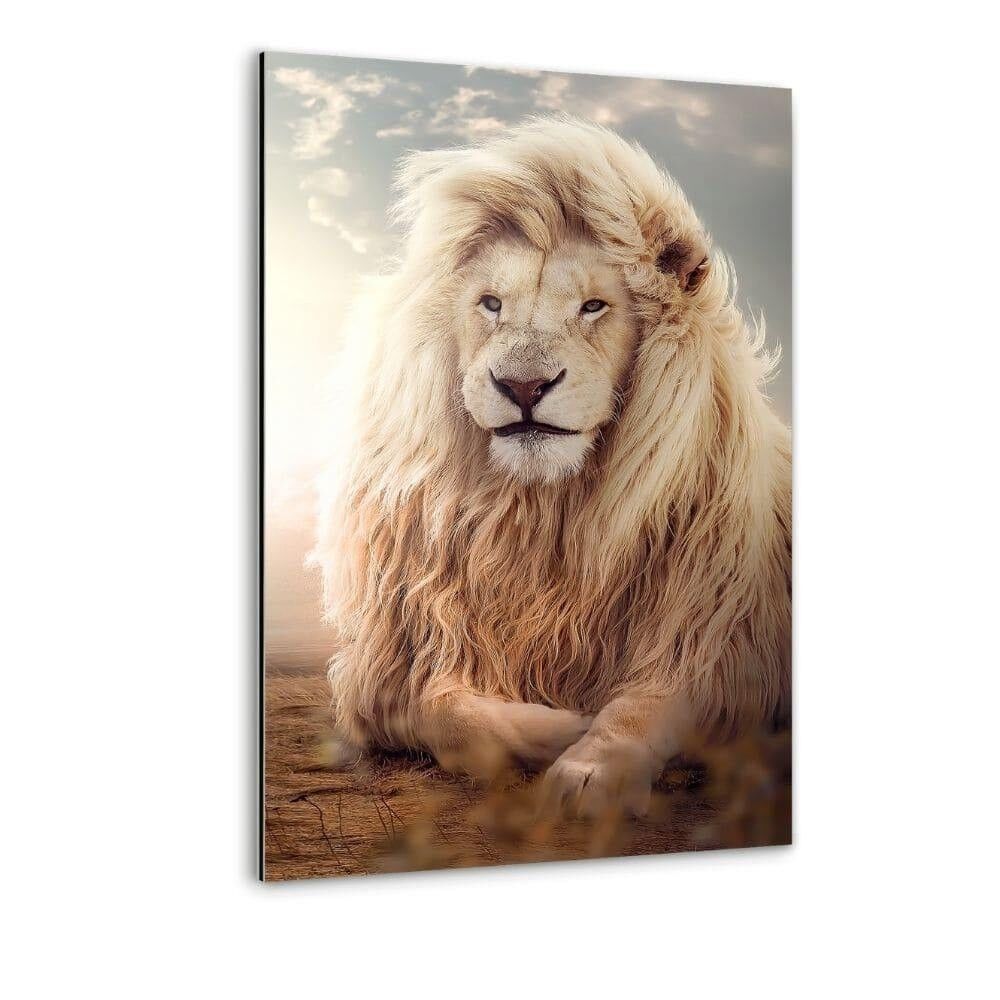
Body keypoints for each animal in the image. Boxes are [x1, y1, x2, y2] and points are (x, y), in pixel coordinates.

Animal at [312, 117, 791, 818]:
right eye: (490, 304)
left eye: (594, 307)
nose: (523, 385)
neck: (543, 514)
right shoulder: (391, 667)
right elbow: (444, 710)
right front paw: (564, 726)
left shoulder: (717, 642)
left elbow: (646, 707)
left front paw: (592, 765)